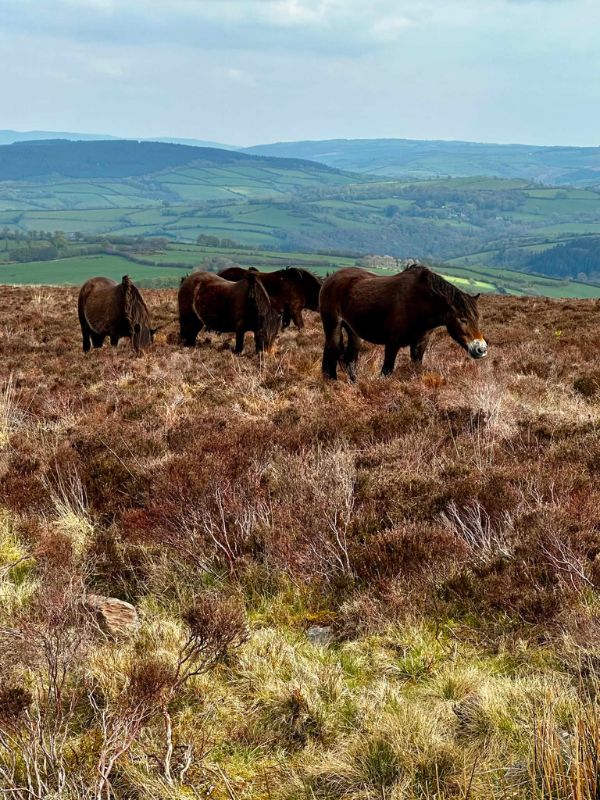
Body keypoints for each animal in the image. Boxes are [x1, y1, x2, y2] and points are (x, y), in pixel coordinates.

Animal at [319, 265, 488, 380]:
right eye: (463, 319)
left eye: (477, 318)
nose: (481, 349)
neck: (418, 303)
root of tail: (330, 279)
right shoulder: (392, 343)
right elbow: (386, 371)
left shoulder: (420, 344)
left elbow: (416, 369)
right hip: (333, 325)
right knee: (332, 351)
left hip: (353, 331)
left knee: (349, 357)